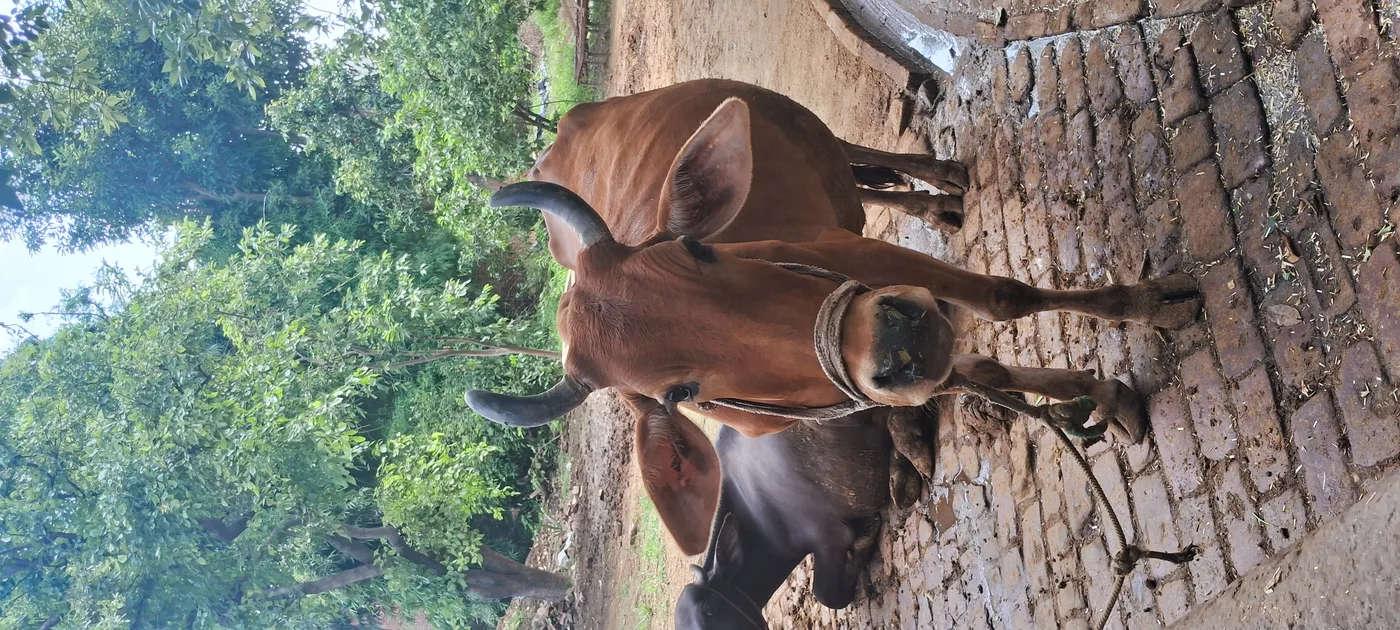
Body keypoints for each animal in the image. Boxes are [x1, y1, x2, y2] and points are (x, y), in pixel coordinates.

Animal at [464, 79, 1202, 554]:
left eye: (702, 249)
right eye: (681, 394)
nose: (898, 342)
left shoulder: (864, 260)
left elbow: (1004, 297)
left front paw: (1147, 306)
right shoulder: (877, 372)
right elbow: (979, 370)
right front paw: (1099, 396)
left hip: (794, 118)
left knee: (858, 154)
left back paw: (942, 180)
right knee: (865, 183)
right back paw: (935, 204)